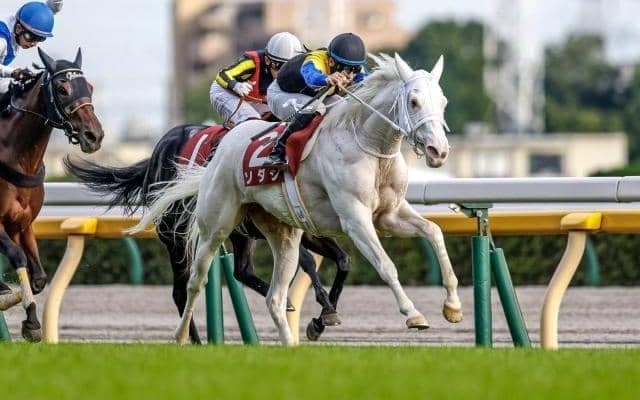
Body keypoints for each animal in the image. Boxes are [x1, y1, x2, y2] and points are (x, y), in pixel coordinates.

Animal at [0, 47, 103, 341]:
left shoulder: (22, 224)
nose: (94, 135)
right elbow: (18, 257)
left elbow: (38, 277)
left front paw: (25, 315)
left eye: (90, 87)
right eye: (62, 88)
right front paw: (32, 320)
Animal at [64, 123, 351, 344]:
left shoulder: (307, 229)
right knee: (182, 291)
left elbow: (343, 260)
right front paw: (323, 311)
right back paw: (194, 340)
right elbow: (308, 262)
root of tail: (159, 148)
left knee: (241, 270)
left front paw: (323, 317)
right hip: (177, 238)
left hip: (238, 234)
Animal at [130, 53, 463, 346]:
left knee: (269, 292)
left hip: (279, 234)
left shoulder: (388, 215)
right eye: (414, 101)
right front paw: (413, 313)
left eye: (444, 102)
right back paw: (184, 337)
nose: (438, 151)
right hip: (211, 229)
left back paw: (288, 340)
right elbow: (385, 264)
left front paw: (453, 307)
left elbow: (433, 232)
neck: (367, 145)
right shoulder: (354, 218)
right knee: (193, 283)